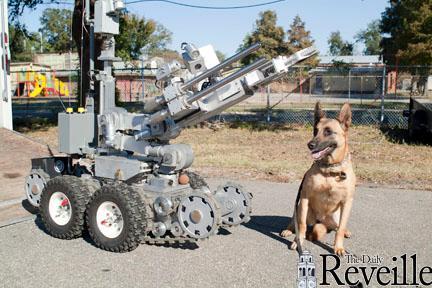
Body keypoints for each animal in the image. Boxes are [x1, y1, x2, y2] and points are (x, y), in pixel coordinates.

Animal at [282, 102, 356, 255]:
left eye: (328, 132)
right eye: (315, 131)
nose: (310, 145)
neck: (330, 170)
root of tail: (322, 222)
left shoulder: (347, 202)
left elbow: (340, 229)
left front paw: (338, 247)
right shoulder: (305, 197)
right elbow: (302, 225)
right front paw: (298, 242)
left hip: (337, 215)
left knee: (337, 226)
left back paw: (346, 231)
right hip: (300, 208)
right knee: (295, 221)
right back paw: (288, 230)